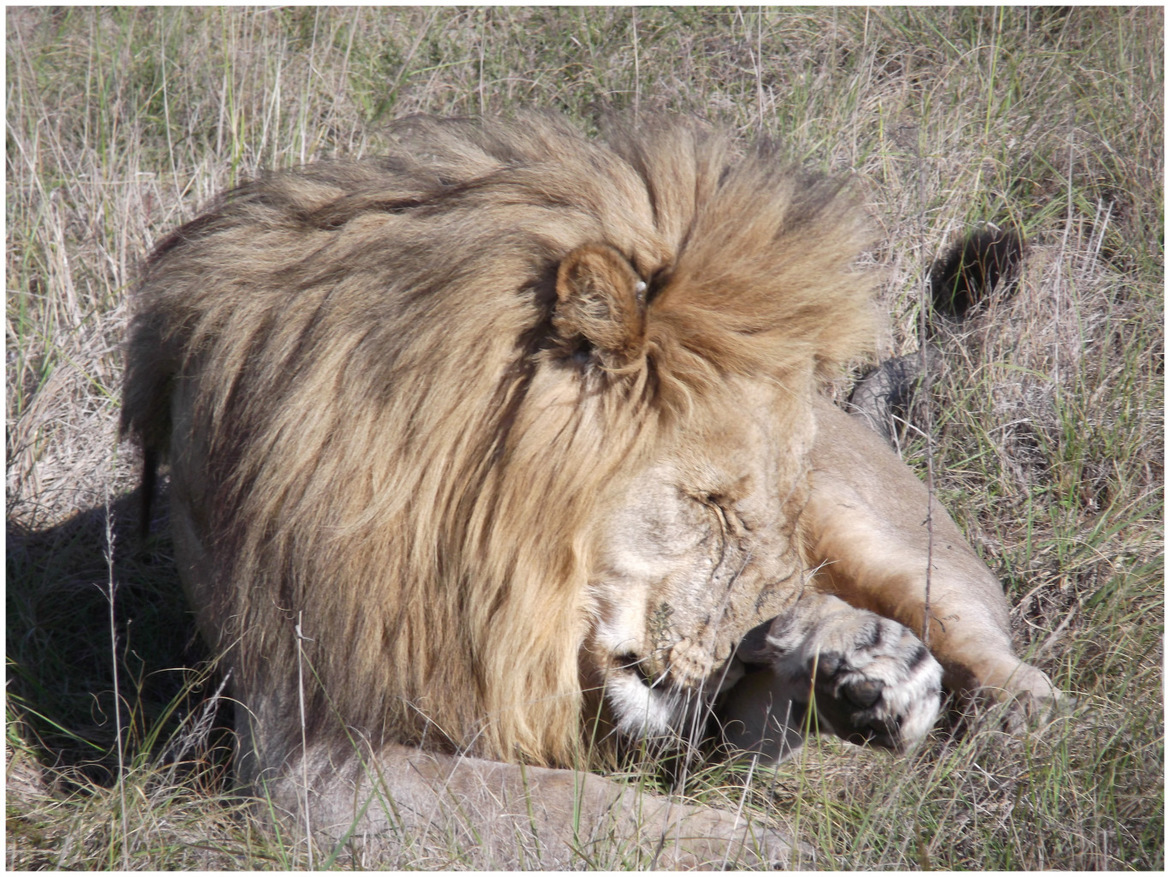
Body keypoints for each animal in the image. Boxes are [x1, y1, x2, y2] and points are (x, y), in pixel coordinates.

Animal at [120, 113, 1059, 868]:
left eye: (763, 505)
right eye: (712, 503)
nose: (760, 640)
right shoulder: (308, 756)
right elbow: (570, 805)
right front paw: (777, 843)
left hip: (872, 522)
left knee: (979, 635)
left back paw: (991, 709)